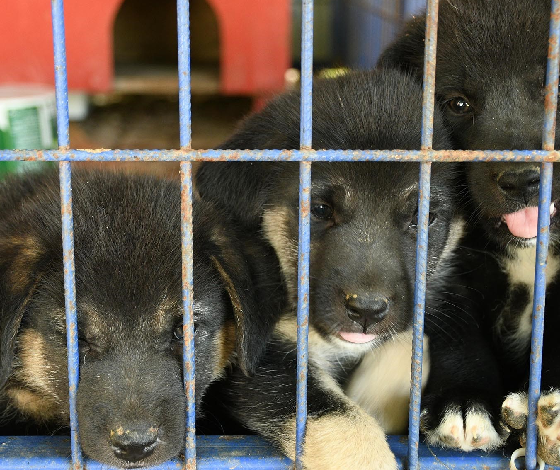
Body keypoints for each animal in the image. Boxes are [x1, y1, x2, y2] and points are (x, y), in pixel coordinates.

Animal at [195, 68, 462, 468]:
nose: (366, 311)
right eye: (319, 209)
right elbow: (342, 420)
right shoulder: (258, 359)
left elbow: (406, 343)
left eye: (424, 217)